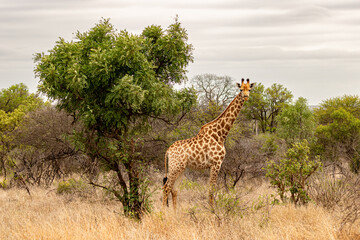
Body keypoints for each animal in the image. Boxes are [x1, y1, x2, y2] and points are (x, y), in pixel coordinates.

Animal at [162, 78, 255, 209]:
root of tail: (168, 151)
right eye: (241, 89)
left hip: (181, 168)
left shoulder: (213, 165)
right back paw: (163, 213)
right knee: (166, 188)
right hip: (175, 167)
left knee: (174, 189)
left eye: (249, 89)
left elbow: (210, 189)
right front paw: (213, 211)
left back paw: (175, 213)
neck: (220, 135)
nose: (246, 97)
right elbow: (212, 189)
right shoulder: (216, 163)